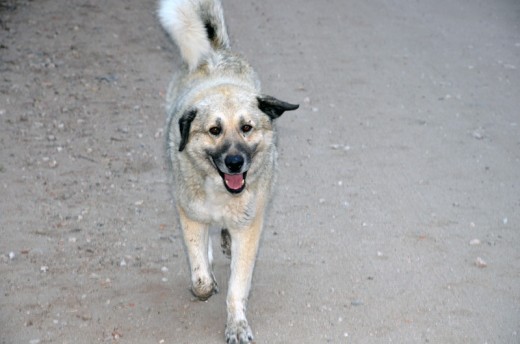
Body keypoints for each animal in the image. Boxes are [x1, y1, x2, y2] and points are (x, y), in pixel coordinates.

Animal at [157, 0, 296, 342]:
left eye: (247, 128)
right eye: (214, 130)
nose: (235, 162)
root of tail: (214, 52)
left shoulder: (248, 228)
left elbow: (238, 286)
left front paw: (237, 324)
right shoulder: (190, 214)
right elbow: (200, 276)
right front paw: (204, 285)